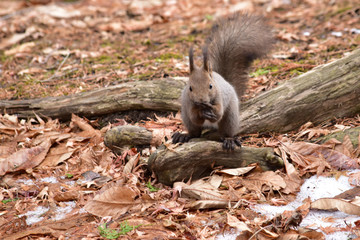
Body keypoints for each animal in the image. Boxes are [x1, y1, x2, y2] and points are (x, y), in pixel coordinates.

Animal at [172, 13, 272, 149]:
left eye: (210, 86)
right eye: (190, 88)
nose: (201, 101)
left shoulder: (220, 98)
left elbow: (218, 113)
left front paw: (210, 110)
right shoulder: (188, 103)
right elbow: (195, 117)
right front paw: (201, 112)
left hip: (230, 117)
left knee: (225, 130)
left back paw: (229, 140)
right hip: (186, 117)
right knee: (195, 132)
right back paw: (184, 135)